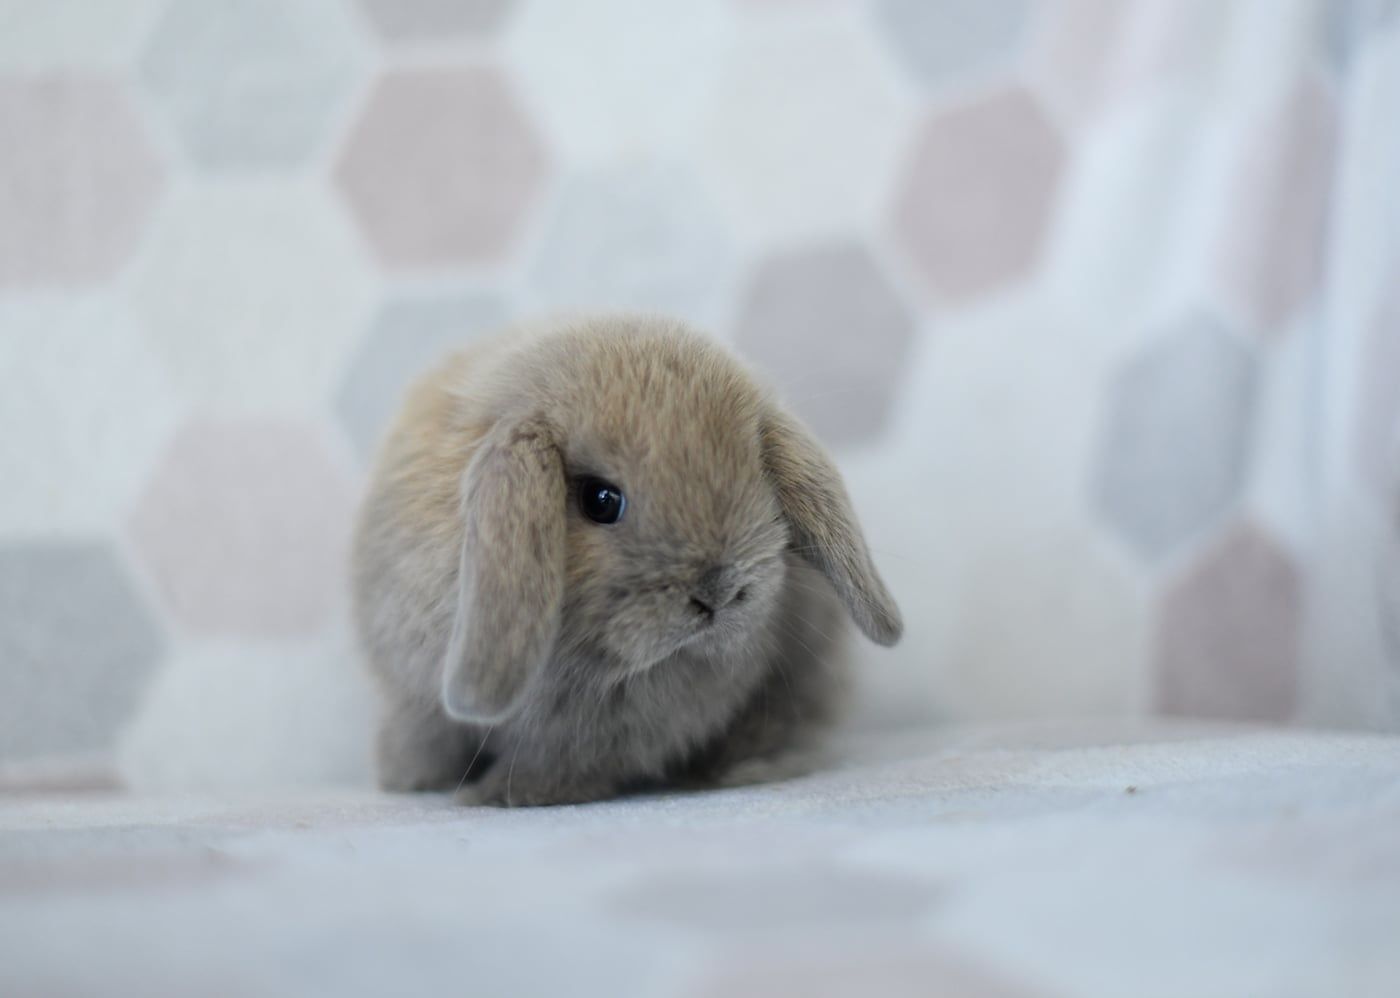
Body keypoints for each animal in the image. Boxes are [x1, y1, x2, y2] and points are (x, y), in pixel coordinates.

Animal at [348, 314, 896, 806]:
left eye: (761, 480)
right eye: (600, 500)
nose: (719, 592)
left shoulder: (605, 737)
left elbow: (559, 765)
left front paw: (498, 796)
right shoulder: (414, 695)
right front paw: (413, 781)